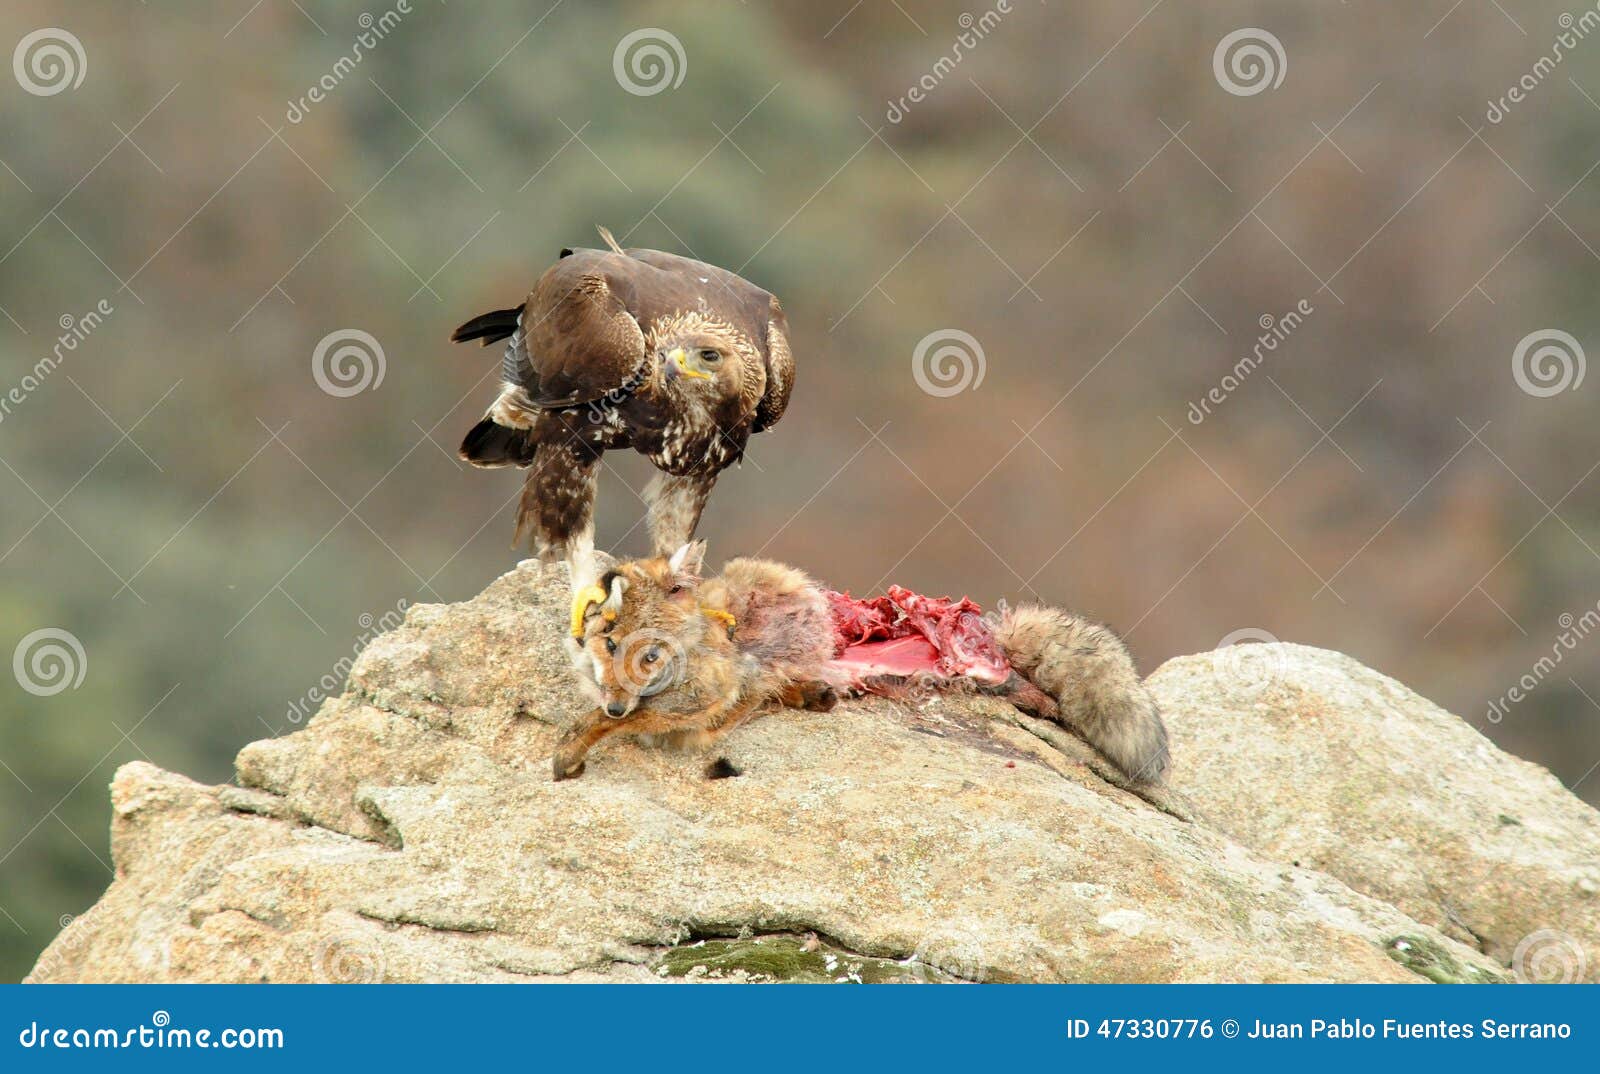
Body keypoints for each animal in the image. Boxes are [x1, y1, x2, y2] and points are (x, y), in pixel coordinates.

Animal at [556, 542, 1170, 784]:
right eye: (609, 644)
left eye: (650, 654)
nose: (616, 702)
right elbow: (613, 718)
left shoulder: (706, 699)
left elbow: (610, 722)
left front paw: (572, 750)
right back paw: (813, 694)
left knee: (1031, 691)